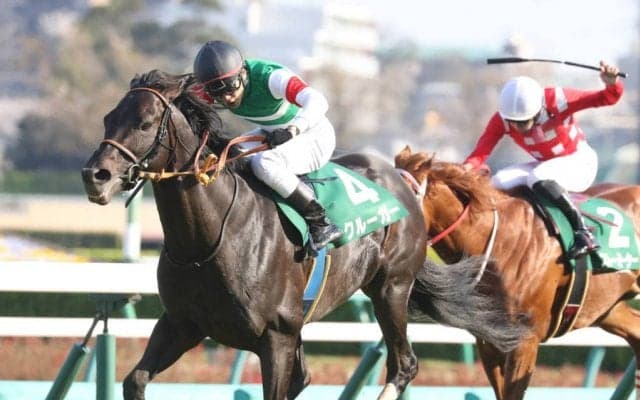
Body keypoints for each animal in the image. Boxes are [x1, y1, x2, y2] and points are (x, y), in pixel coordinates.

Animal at [81, 70, 527, 400]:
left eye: (144, 123)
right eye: (107, 118)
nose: (94, 176)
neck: (208, 241)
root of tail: (400, 181)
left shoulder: (275, 337)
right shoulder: (181, 323)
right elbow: (135, 380)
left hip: (391, 288)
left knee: (404, 365)